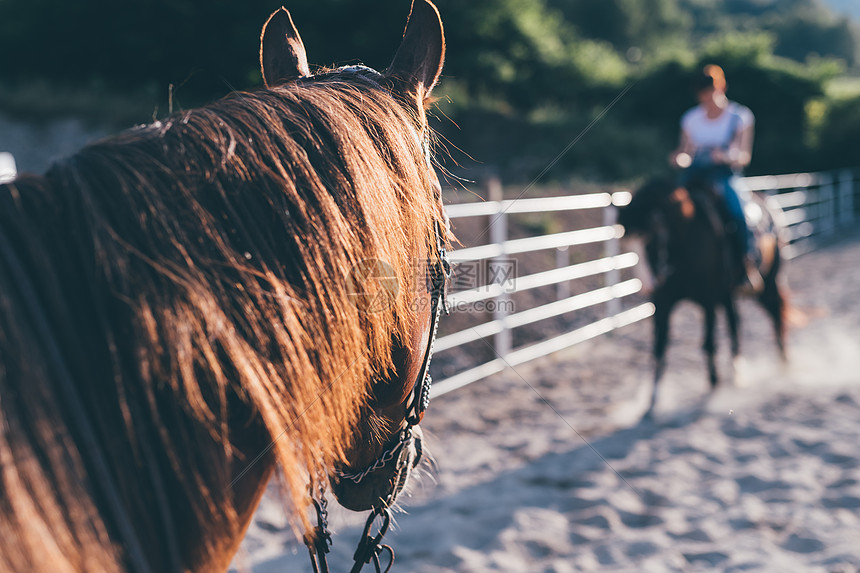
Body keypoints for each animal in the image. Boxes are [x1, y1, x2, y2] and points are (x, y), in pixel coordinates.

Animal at [620, 174, 788, 416]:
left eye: (653, 237)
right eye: (632, 245)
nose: (651, 285)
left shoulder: (708, 300)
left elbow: (708, 342)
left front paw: (714, 385)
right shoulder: (663, 303)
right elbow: (659, 348)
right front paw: (652, 402)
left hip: (767, 283)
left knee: (775, 312)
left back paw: (783, 364)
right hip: (728, 294)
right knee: (735, 322)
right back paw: (739, 372)